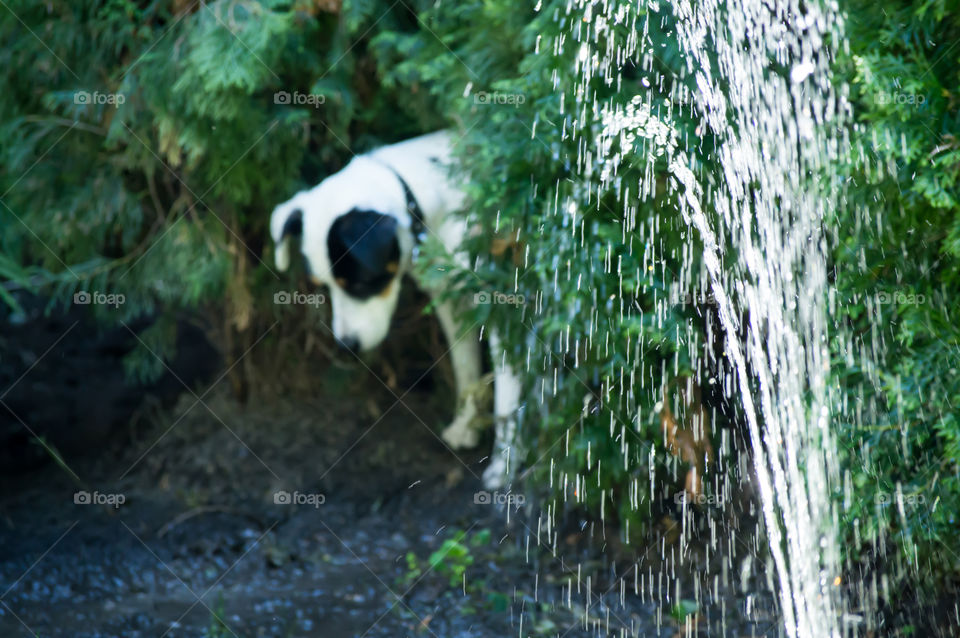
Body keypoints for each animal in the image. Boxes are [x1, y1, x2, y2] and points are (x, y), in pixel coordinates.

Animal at [270, 130, 520, 490]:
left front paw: (503, 466)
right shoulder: (451, 303)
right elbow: (466, 367)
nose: (347, 346)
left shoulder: (504, 313)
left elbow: (507, 396)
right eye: (322, 286)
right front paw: (466, 427)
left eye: (362, 284)